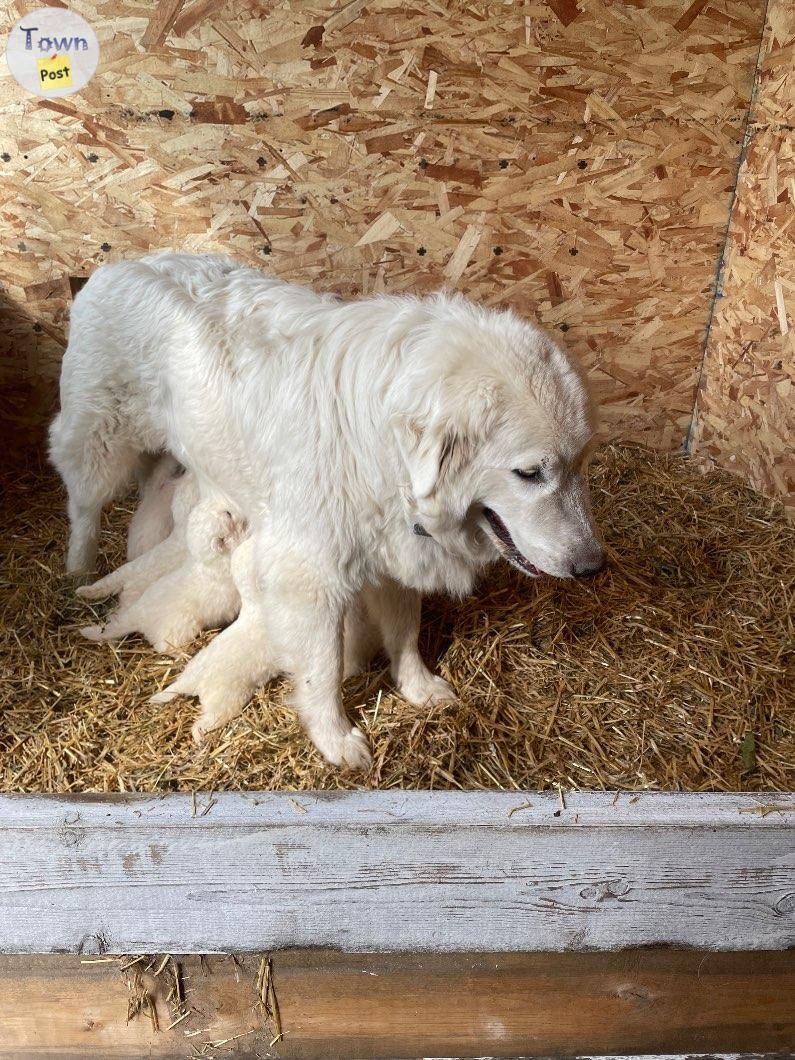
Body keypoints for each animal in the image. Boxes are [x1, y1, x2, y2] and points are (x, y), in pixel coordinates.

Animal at [49, 256, 602, 771]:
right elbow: (322, 667)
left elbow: (404, 634)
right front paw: (335, 739)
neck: (384, 446)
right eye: (529, 473)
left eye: (578, 462)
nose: (592, 566)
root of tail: (119, 265)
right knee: (82, 508)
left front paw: (418, 688)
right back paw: (78, 571)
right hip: (97, 444)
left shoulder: (395, 555)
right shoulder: (310, 580)